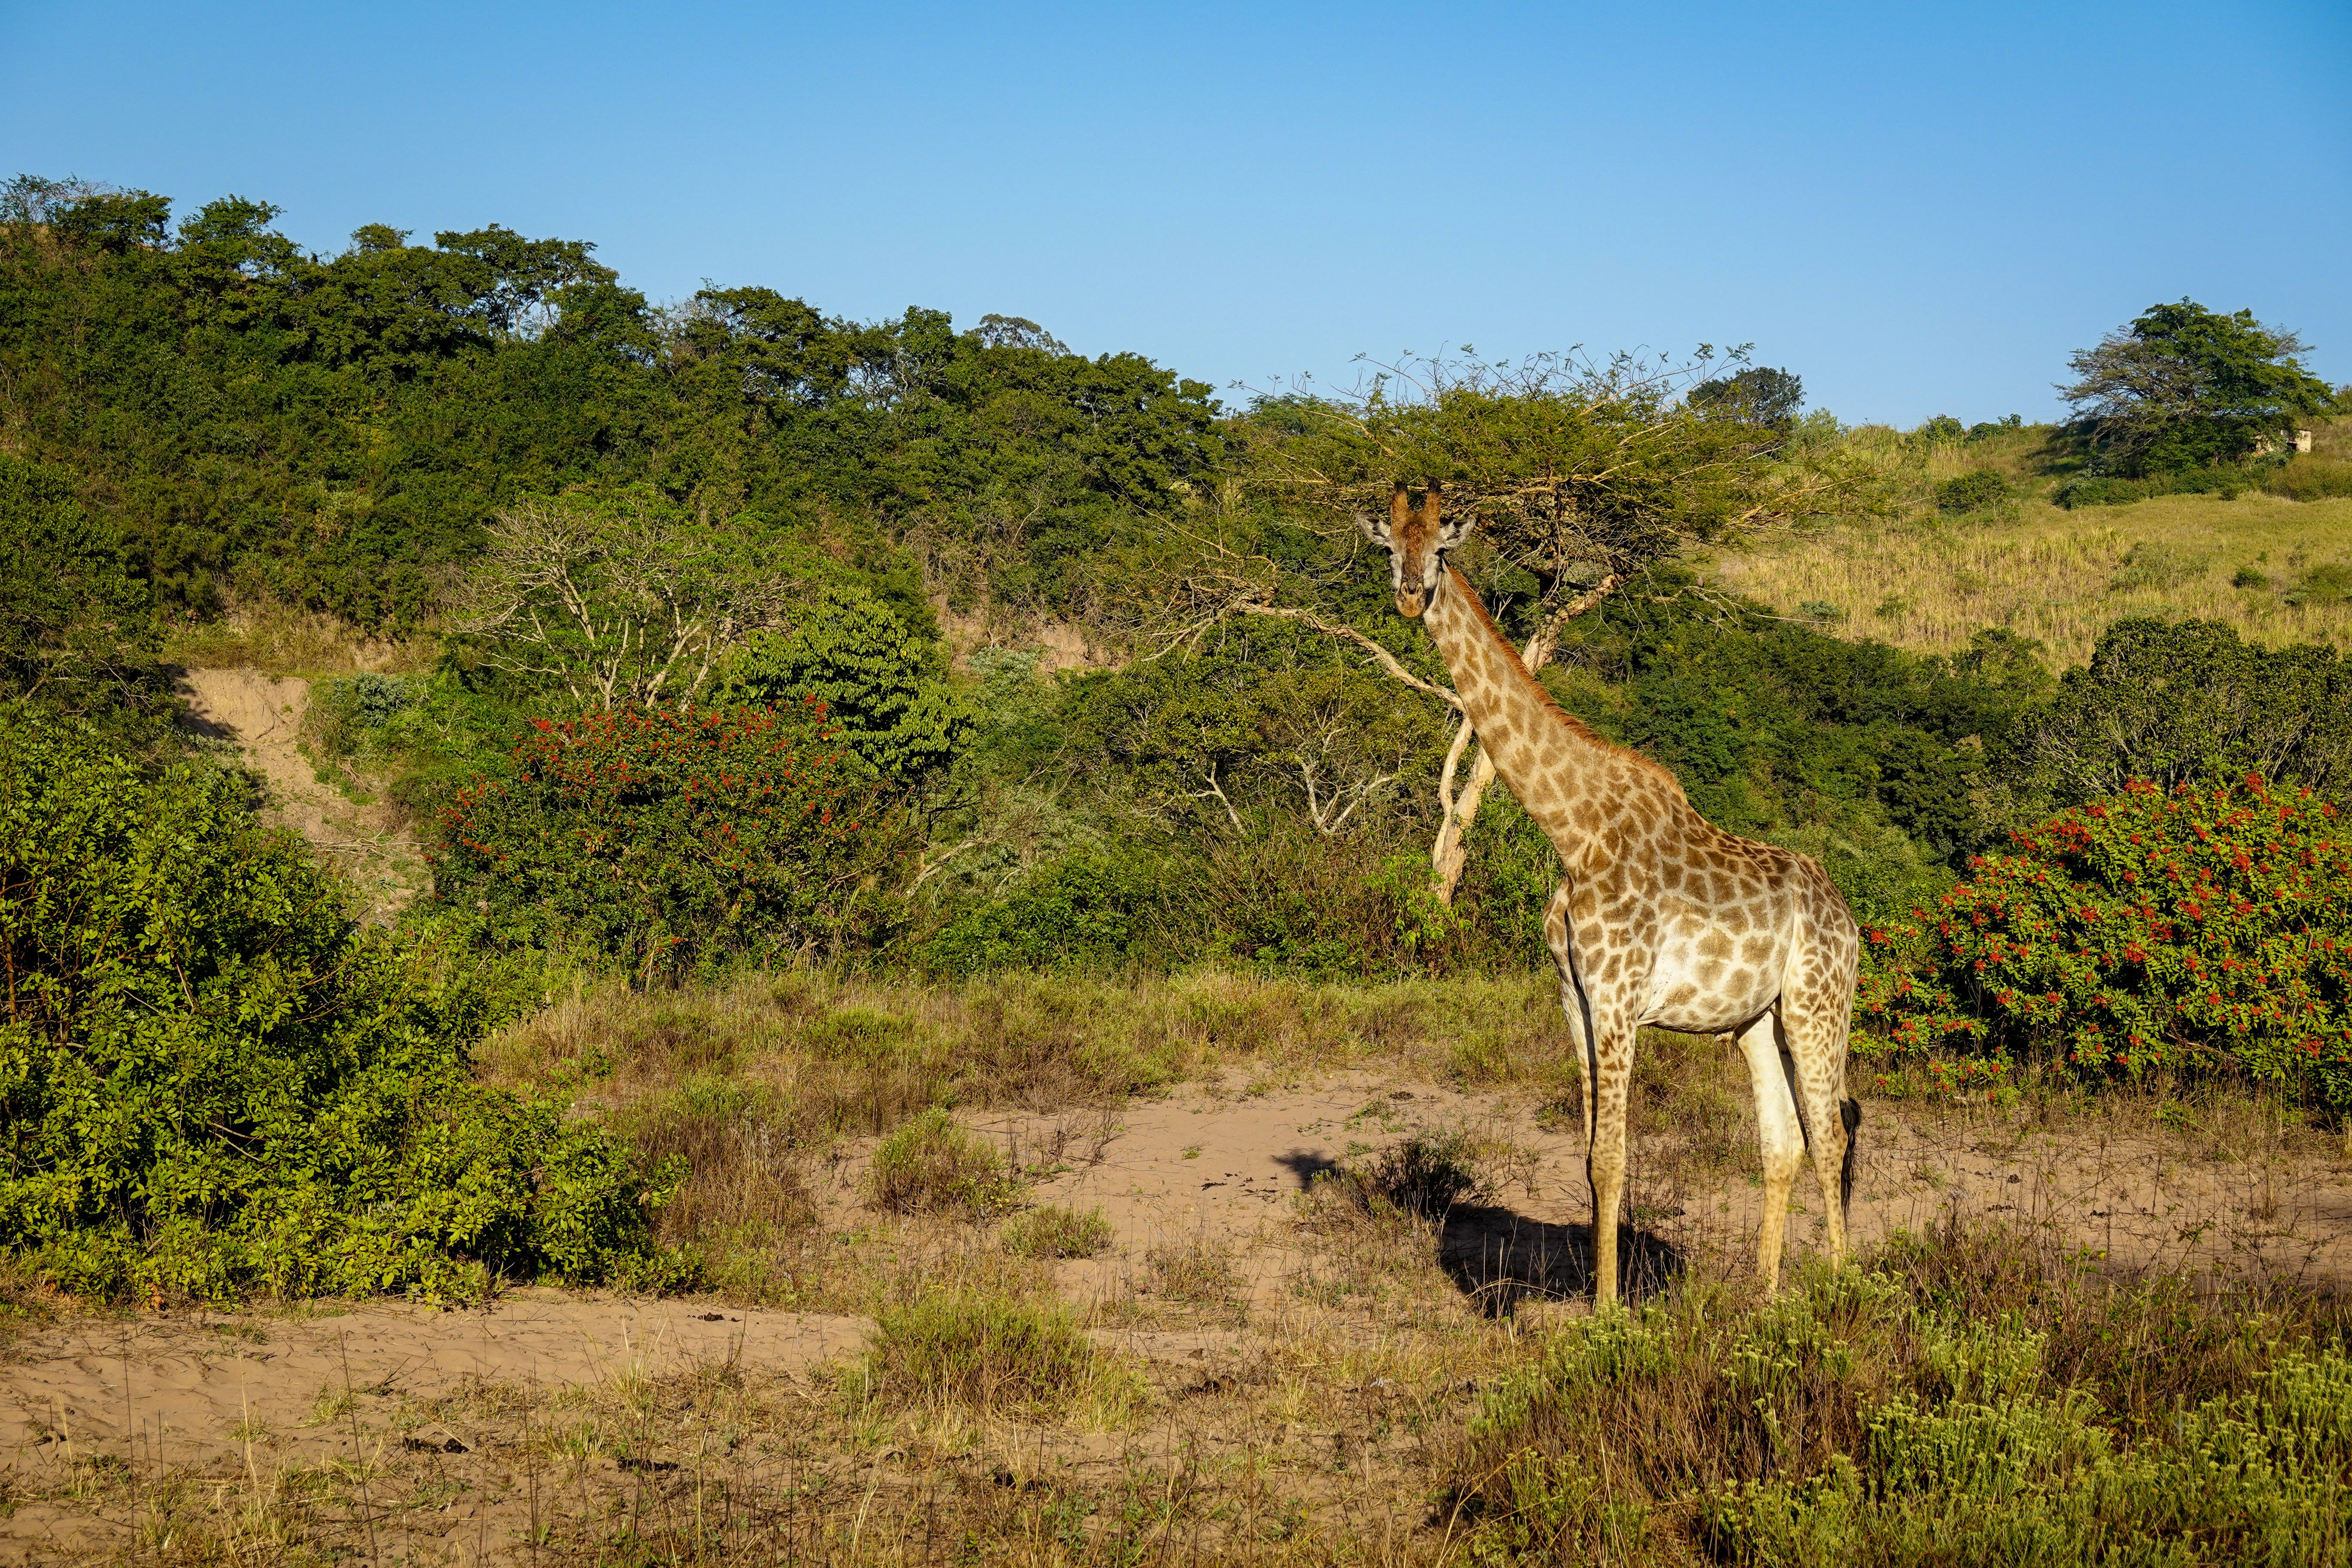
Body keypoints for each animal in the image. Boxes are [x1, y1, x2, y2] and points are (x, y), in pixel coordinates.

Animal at [1363, 483, 1861, 1303]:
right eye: (1389, 547)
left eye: (1439, 550)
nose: (1408, 596)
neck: (1573, 831)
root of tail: (1849, 918)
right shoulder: (1575, 997)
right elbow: (1593, 1156)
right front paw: (1604, 1298)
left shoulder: (1622, 1000)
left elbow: (1615, 1158)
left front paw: (1608, 1314)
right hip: (1755, 1019)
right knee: (1783, 1141)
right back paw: (1764, 1296)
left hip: (1818, 1005)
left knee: (1831, 1132)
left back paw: (1845, 1290)